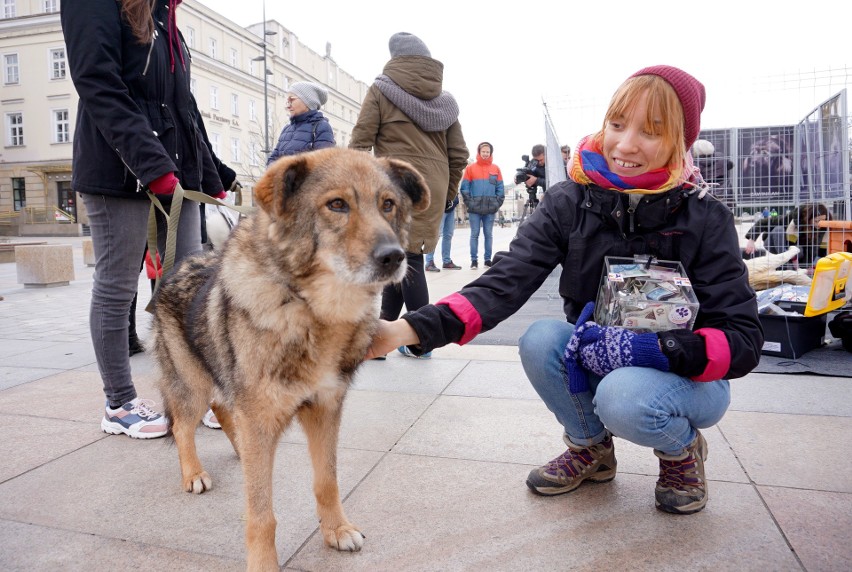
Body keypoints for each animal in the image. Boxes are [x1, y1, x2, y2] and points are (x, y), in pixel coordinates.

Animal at [152, 149, 430, 572]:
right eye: (337, 205)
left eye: (388, 205)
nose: (394, 257)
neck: (310, 310)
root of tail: (177, 265)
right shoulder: (261, 415)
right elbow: (261, 513)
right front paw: (264, 564)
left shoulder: (324, 410)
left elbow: (327, 480)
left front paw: (336, 530)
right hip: (193, 385)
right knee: (185, 426)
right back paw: (194, 472)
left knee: (225, 411)